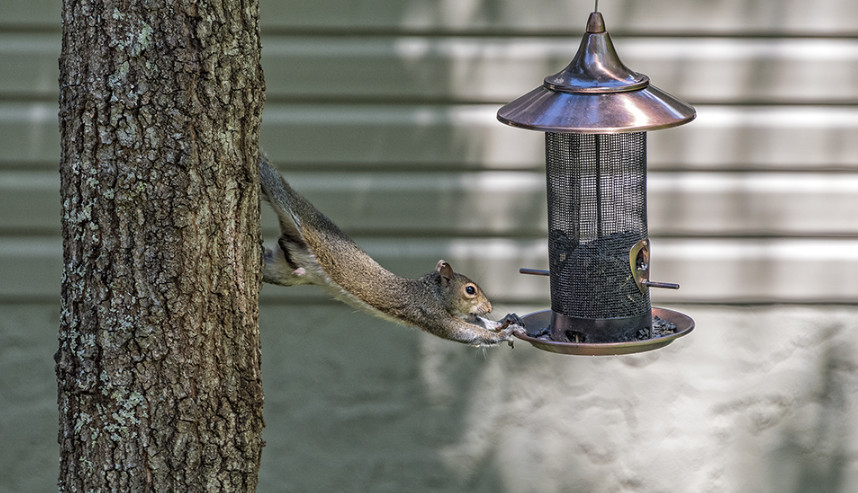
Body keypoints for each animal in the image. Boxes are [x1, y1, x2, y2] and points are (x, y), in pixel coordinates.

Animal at [258, 158, 520, 346]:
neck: (432, 292)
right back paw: (260, 169)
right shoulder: (430, 313)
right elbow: (464, 331)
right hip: (292, 210)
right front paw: (500, 335)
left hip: (285, 271)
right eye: (470, 290)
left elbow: (477, 322)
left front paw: (506, 322)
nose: (489, 308)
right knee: (275, 185)